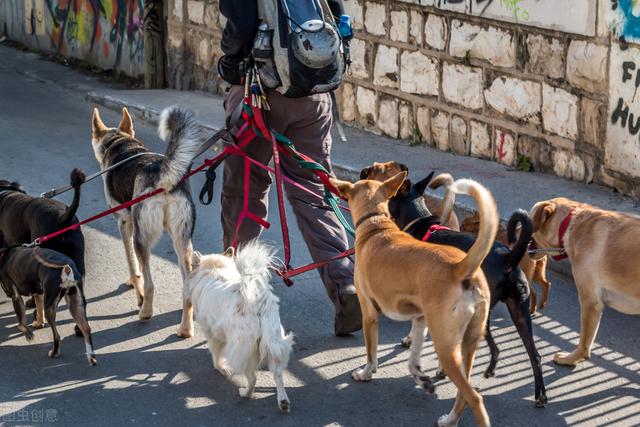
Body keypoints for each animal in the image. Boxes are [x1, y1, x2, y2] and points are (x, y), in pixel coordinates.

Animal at [0, 236, 95, 366]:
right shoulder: (39, 293)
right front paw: (39, 323)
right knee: (86, 329)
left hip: (51, 306)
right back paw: (91, 357)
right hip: (76, 304)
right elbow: (39, 310)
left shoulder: (15, 296)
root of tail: (66, 268)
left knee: (57, 336)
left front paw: (27, 333)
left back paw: (54, 352)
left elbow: (21, 320)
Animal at [186, 241, 294, 412]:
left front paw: (221, 368)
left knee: (253, 378)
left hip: (245, 349)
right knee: (277, 375)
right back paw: (283, 402)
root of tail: (256, 302)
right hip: (275, 342)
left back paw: (245, 393)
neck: (214, 269)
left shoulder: (212, 332)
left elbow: (216, 353)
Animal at [330, 172, 496, 426]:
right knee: (463, 393)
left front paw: (365, 374)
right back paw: (450, 419)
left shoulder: (369, 313)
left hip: (445, 345)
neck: (375, 223)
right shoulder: (420, 320)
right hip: (468, 343)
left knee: (474, 397)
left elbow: (371, 353)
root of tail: (459, 267)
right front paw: (420, 377)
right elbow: (412, 359)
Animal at [362, 162, 548, 410]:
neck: (419, 220)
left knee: (490, 348)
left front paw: (411, 341)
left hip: (484, 312)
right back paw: (538, 395)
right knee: (533, 354)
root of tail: (508, 258)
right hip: (519, 311)